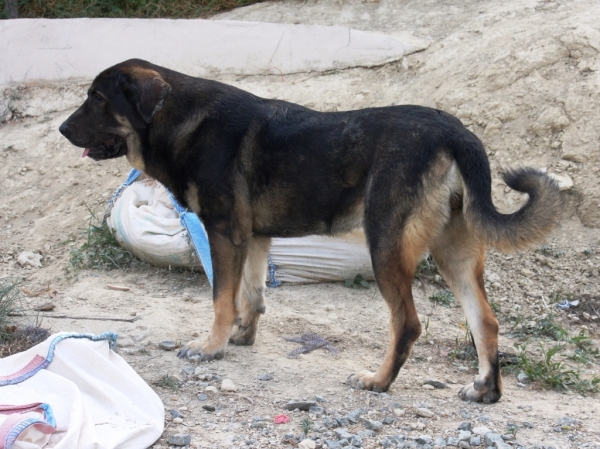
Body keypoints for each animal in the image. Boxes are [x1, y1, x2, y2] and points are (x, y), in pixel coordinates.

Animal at [59, 59, 564, 402]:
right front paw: (243, 337)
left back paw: (379, 381)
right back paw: (485, 390)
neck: (179, 118)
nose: (61, 129)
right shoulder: (254, 238)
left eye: (98, 99)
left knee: (407, 323)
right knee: (485, 320)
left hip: (386, 247)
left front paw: (211, 347)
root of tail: (455, 132)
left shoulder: (224, 234)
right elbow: (251, 295)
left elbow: (222, 299)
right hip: (452, 253)